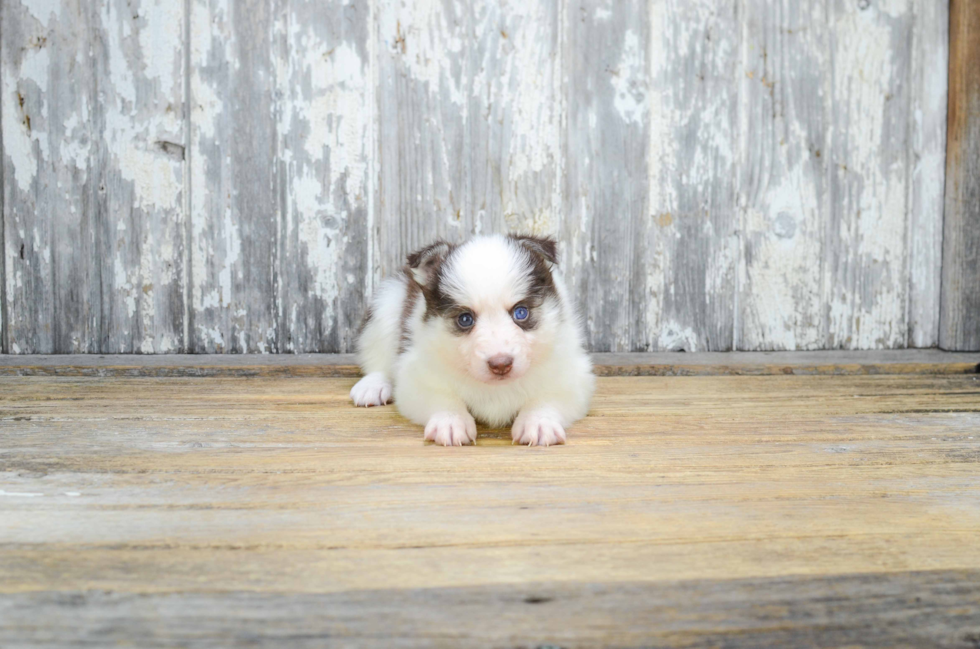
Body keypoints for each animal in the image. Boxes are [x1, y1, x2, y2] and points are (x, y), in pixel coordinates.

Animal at [348, 233, 592, 446]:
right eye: (465, 319)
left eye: (521, 312)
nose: (501, 365)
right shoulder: (415, 377)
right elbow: (441, 394)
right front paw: (450, 420)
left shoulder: (572, 374)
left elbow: (547, 397)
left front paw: (538, 421)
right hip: (385, 305)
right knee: (377, 359)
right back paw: (373, 385)